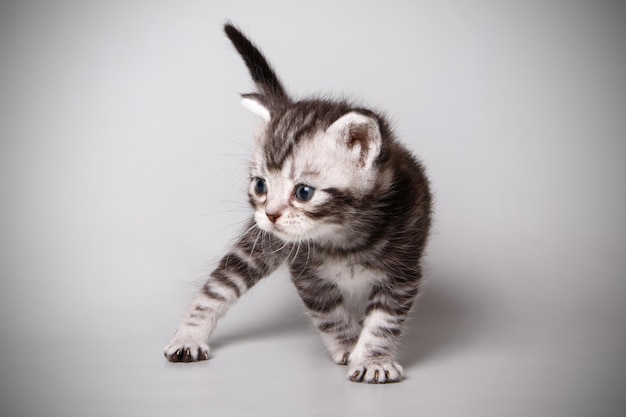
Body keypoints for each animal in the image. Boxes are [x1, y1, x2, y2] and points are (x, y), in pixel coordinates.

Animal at [163, 21, 432, 382]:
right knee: (218, 285)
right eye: (260, 185)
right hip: (258, 244)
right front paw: (348, 346)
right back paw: (189, 336)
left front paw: (373, 359)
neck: (343, 238)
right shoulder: (307, 275)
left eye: (304, 192)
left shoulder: (403, 271)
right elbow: (329, 314)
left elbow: (383, 321)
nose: (271, 213)